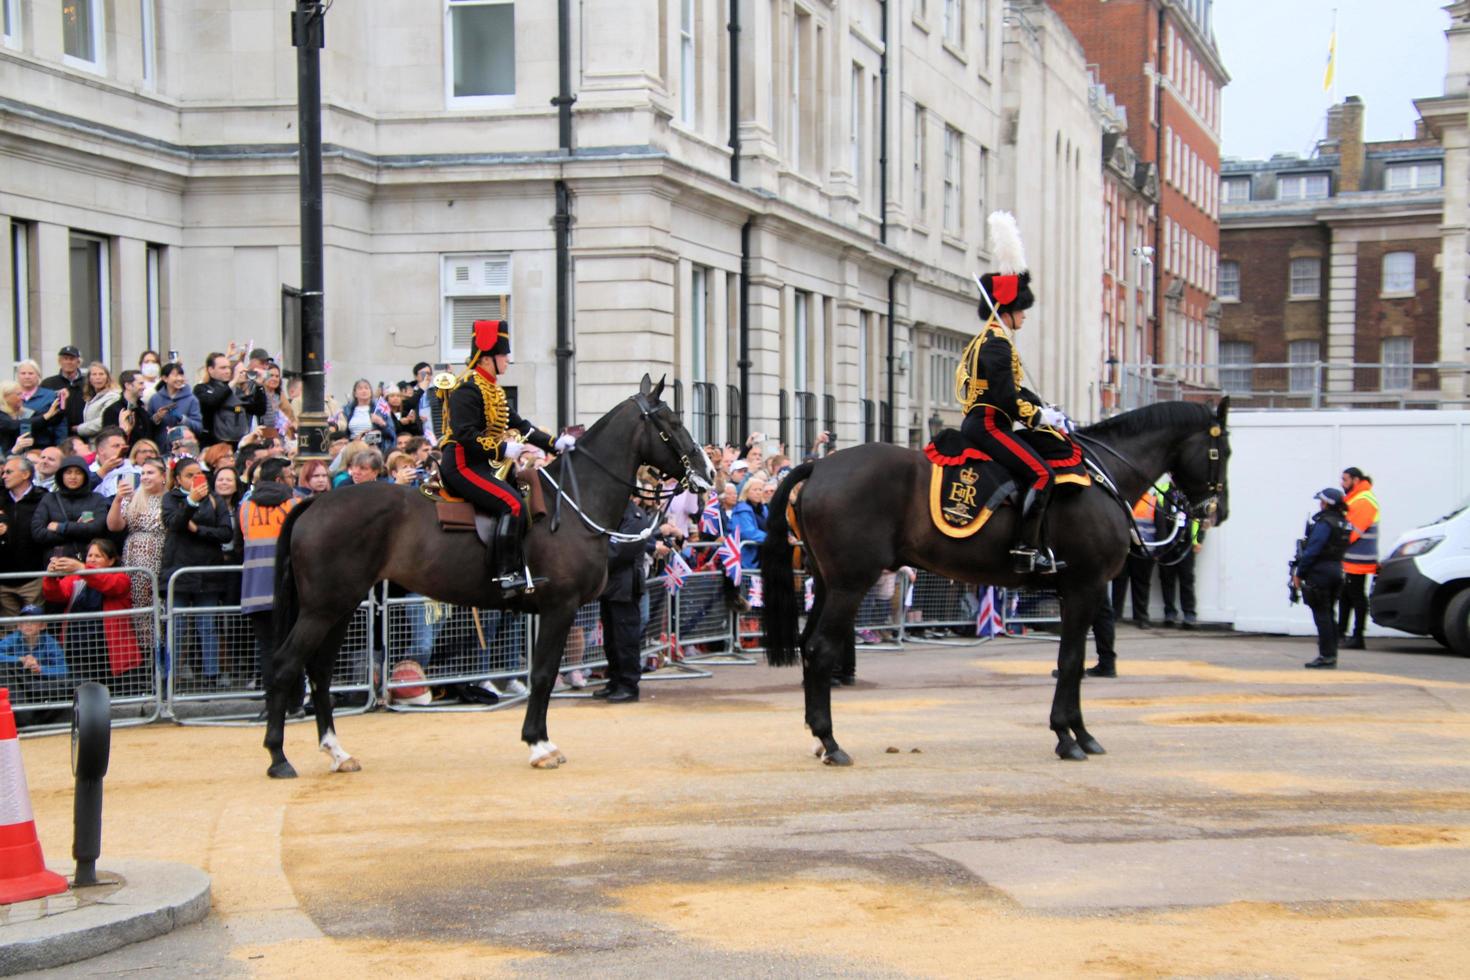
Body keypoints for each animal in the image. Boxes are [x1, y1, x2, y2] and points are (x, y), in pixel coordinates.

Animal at [269, 379, 717, 781]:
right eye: (672, 422)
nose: (709, 472)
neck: (572, 504)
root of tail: (316, 502)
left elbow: (545, 672)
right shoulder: (559, 607)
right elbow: (543, 674)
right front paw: (539, 744)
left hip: (342, 607)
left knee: (320, 671)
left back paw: (336, 751)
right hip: (322, 608)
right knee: (286, 664)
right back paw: (278, 757)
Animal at [758, 399, 1228, 764]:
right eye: (1221, 450)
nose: (1216, 513)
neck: (1103, 478)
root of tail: (819, 465)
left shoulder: (1077, 591)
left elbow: (1071, 660)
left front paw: (1078, 732)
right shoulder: (1086, 586)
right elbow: (1071, 661)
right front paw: (1068, 736)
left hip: (827, 581)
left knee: (808, 645)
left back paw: (818, 738)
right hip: (850, 584)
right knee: (821, 649)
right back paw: (831, 742)